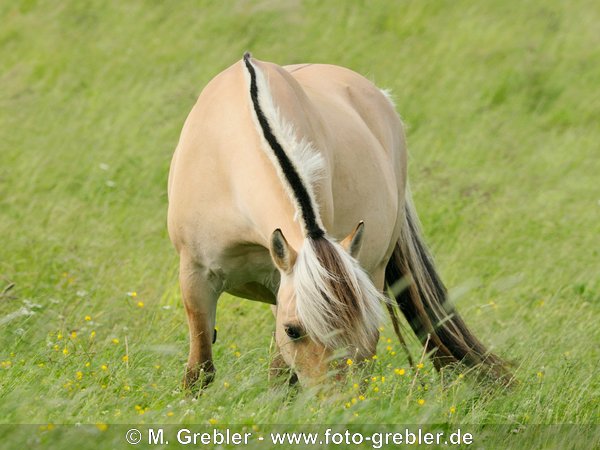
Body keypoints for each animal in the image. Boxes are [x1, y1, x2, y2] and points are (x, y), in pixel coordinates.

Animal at [168, 52, 506, 388]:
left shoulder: (282, 280)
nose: (337, 398)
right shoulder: (195, 276)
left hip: (375, 271)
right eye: (293, 330)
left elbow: (280, 377)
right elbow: (200, 369)